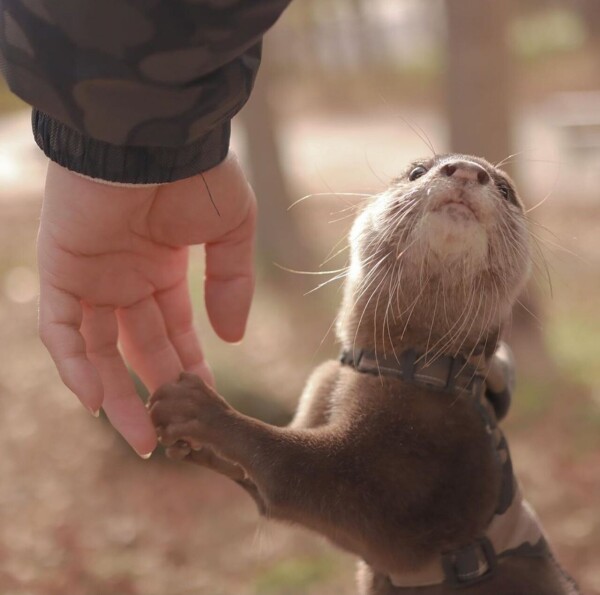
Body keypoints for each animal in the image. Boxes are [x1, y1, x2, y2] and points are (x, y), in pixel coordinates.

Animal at [148, 155, 580, 595]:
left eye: (506, 190)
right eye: (417, 171)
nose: (465, 168)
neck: (412, 371)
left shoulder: (403, 480)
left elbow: (287, 470)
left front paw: (199, 409)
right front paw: (189, 447)